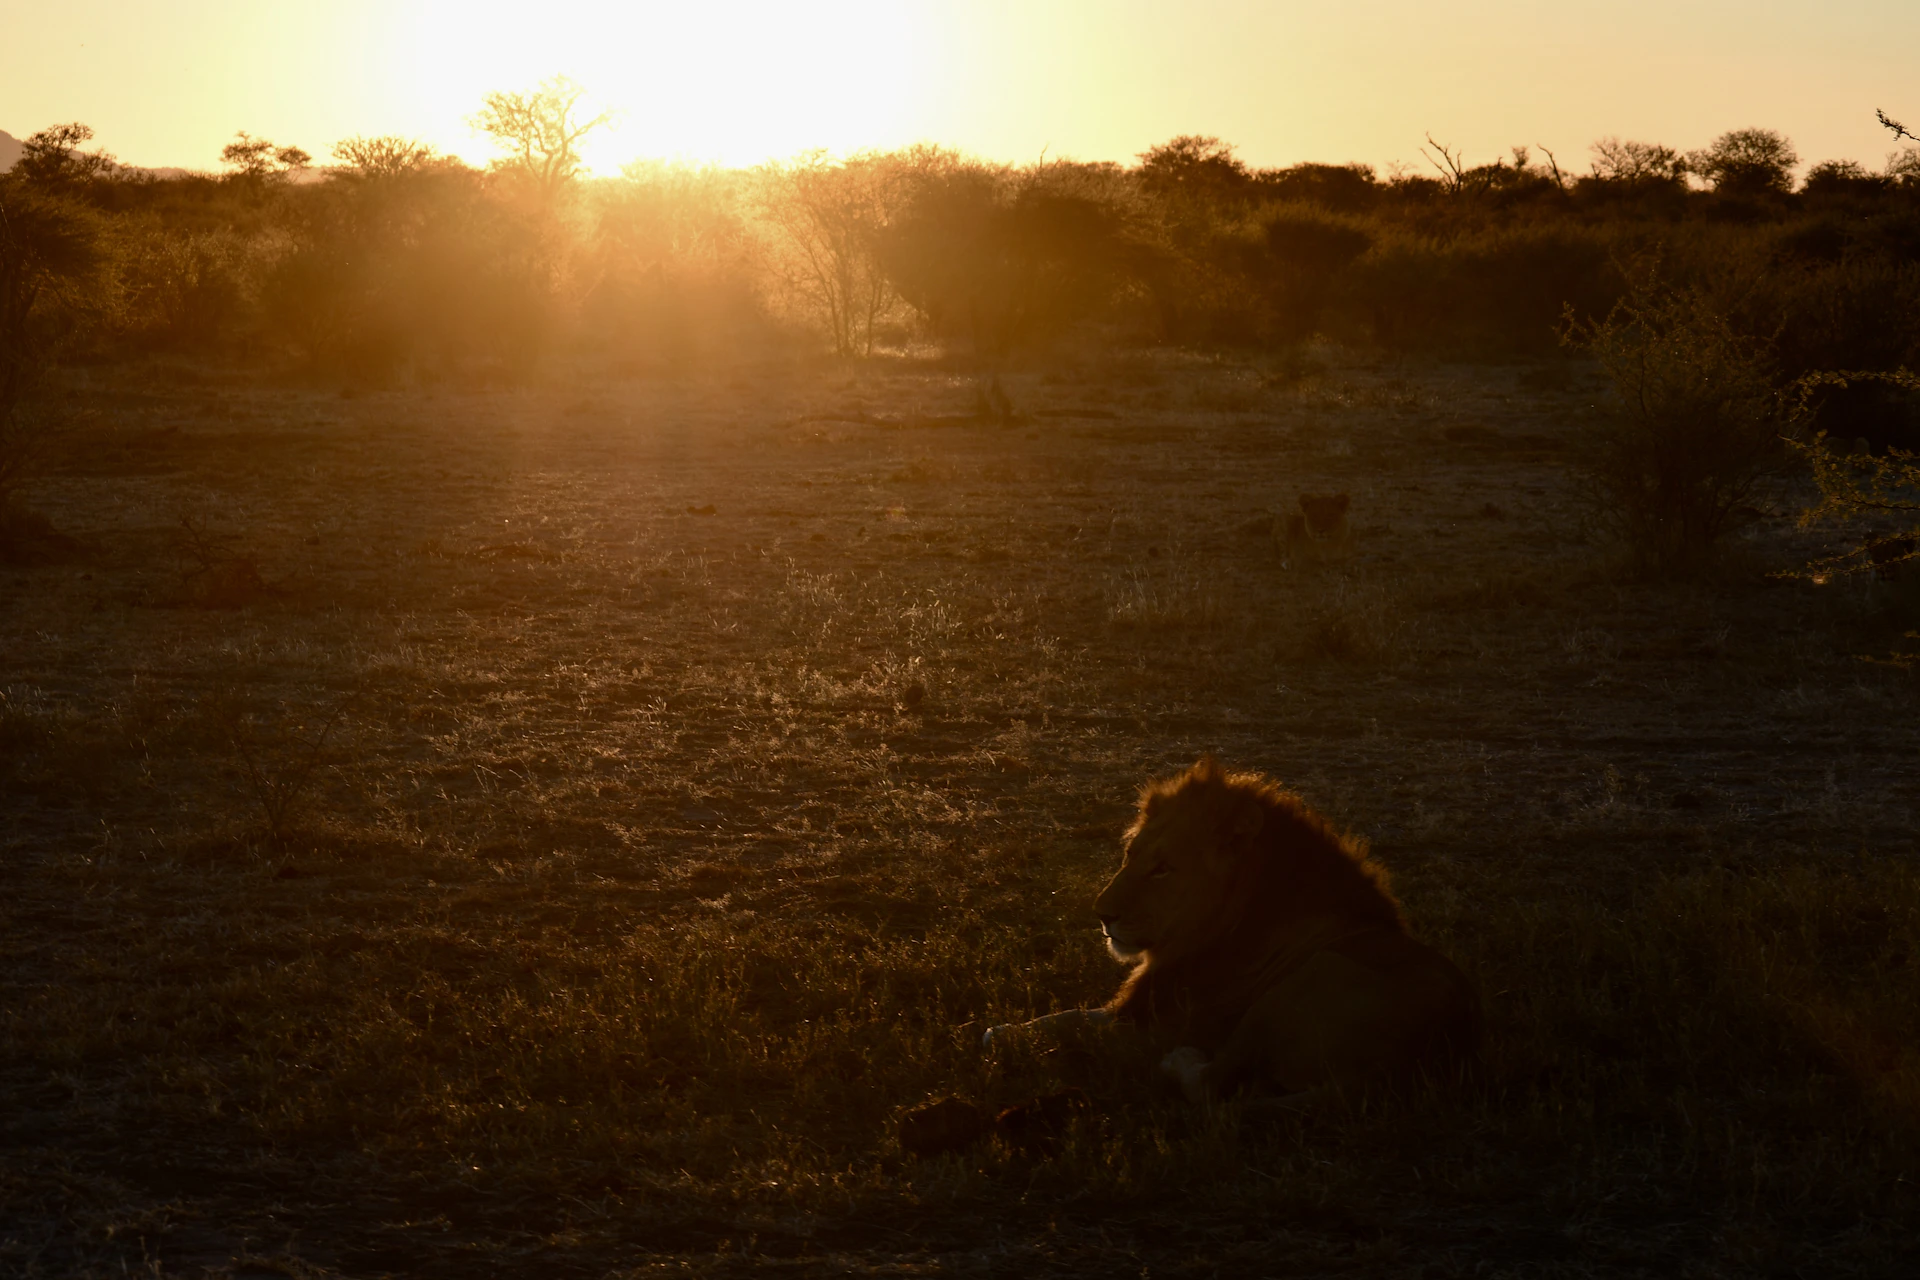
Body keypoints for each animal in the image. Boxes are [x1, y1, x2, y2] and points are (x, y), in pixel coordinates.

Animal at [984, 758, 1479, 1104]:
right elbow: (1060, 1017)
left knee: (1211, 1085)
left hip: (1299, 982)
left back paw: (1181, 1062)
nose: (1102, 916)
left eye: (1163, 869)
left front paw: (1000, 1036)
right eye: (1130, 854)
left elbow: (1063, 1027)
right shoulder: (1132, 1009)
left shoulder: (1149, 1028)